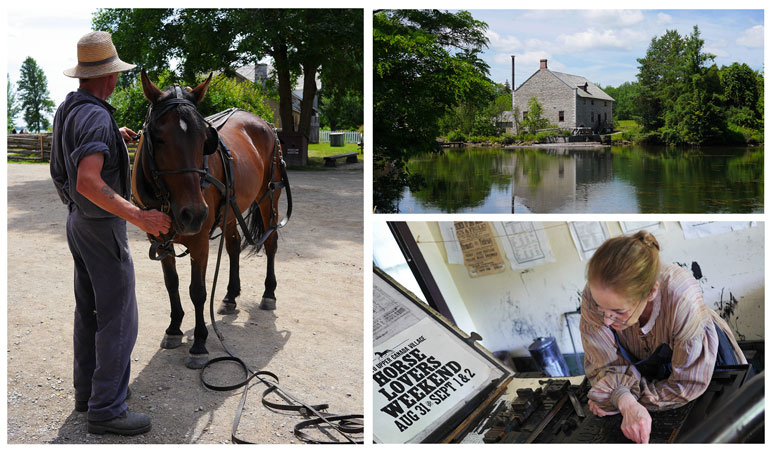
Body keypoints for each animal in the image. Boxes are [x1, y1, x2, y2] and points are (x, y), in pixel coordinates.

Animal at [132, 69, 288, 366]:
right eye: (158, 138)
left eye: (204, 139)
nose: (193, 213)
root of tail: (264, 123)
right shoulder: (160, 238)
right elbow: (172, 284)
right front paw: (174, 328)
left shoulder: (200, 241)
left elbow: (198, 290)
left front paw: (200, 342)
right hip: (231, 210)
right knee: (234, 246)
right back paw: (230, 296)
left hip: (268, 197)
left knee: (271, 242)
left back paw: (270, 293)